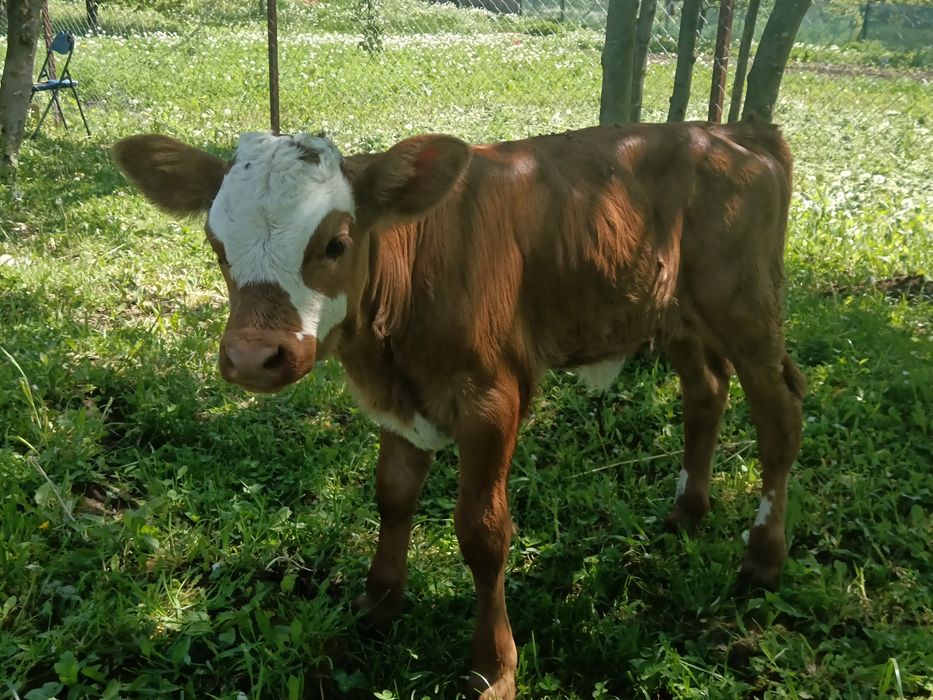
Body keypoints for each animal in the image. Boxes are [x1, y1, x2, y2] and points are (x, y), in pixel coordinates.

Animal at [112, 118, 806, 699]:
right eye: (216, 243)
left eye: (336, 243)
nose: (255, 357)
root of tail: (734, 131)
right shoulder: (401, 399)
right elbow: (393, 495)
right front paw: (378, 604)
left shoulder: (493, 397)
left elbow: (482, 531)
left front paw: (494, 667)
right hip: (673, 309)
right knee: (705, 390)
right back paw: (689, 511)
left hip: (745, 304)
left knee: (779, 414)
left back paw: (764, 556)